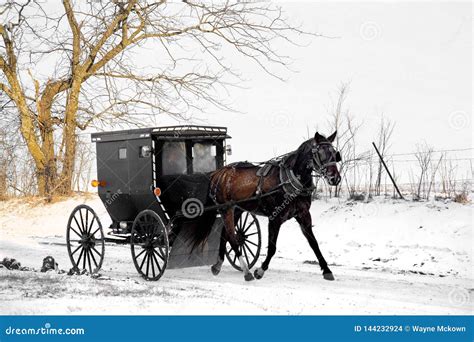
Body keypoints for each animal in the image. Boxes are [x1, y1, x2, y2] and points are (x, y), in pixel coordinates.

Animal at [199, 131, 340, 280]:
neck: (288, 181)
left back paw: (217, 265)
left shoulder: (304, 215)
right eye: (320, 153)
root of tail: (220, 172)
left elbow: (314, 243)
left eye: (334, 153)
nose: (335, 178)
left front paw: (326, 270)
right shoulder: (275, 218)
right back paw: (246, 271)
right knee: (232, 237)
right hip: (226, 209)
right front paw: (260, 270)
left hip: (236, 210)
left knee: (225, 234)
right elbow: (272, 248)